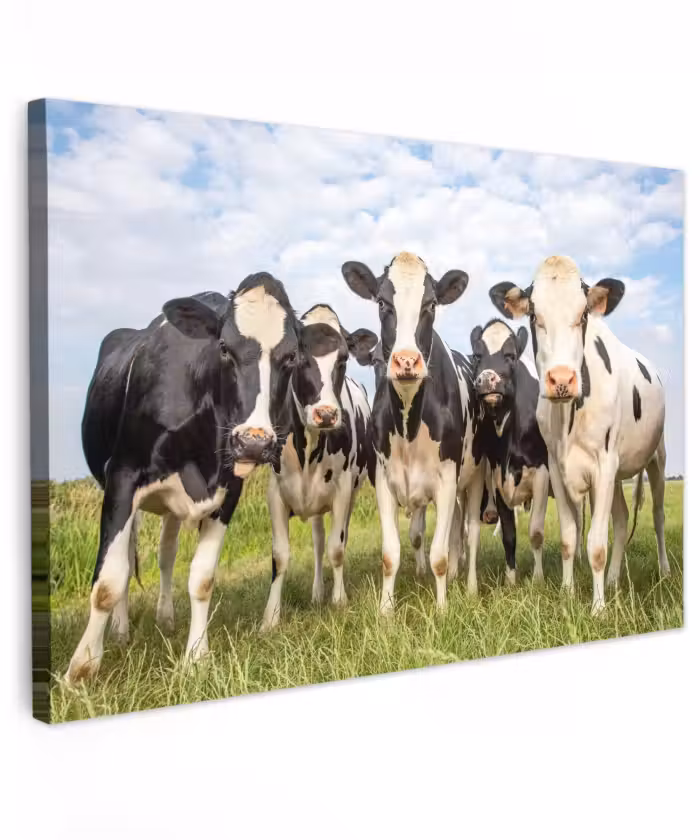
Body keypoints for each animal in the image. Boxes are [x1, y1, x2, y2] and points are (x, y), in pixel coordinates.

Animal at [66, 274, 300, 682]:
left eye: (291, 356)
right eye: (224, 347)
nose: (254, 442)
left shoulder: (229, 489)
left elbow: (202, 578)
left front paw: (196, 657)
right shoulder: (122, 476)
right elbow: (108, 580)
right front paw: (82, 668)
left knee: (165, 554)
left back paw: (165, 617)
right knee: (128, 557)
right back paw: (121, 630)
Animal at [260, 304, 377, 629]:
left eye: (344, 359)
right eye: (296, 357)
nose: (325, 414)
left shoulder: (342, 488)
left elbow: (337, 548)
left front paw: (339, 600)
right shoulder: (275, 492)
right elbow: (280, 555)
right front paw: (270, 616)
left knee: (336, 539)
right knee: (317, 542)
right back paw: (316, 592)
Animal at [342, 251, 484, 612]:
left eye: (430, 304)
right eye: (382, 302)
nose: (406, 361)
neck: (408, 424)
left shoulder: (447, 480)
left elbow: (440, 555)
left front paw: (443, 609)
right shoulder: (383, 479)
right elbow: (391, 553)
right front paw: (385, 610)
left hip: (477, 475)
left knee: (471, 531)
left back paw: (470, 586)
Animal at [470, 319, 550, 585]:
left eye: (511, 356)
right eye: (477, 356)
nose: (486, 379)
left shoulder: (542, 473)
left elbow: (535, 532)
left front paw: (538, 580)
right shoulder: (497, 478)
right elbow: (509, 535)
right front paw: (510, 581)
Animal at [490, 255, 670, 613]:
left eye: (584, 314)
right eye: (534, 315)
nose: (561, 379)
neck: (568, 419)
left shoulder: (603, 464)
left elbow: (596, 544)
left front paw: (598, 608)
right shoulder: (556, 468)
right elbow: (570, 538)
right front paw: (568, 593)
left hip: (656, 459)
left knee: (656, 517)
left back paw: (663, 570)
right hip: (617, 475)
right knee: (621, 519)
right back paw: (613, 580)